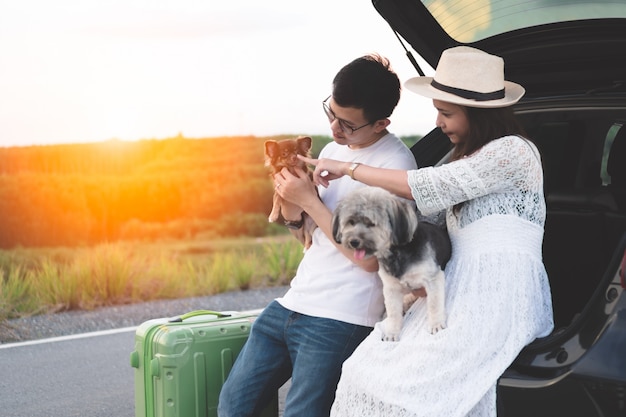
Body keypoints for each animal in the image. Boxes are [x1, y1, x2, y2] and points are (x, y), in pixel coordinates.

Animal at [332, 187, 448, 340]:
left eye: (371, 223)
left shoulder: (432, 278)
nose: (353, 241)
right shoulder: (391, 288)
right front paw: (392, 332)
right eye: (351, 222)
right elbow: (393, 313)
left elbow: (434, 304)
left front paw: (436, 324)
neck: (395, 253)